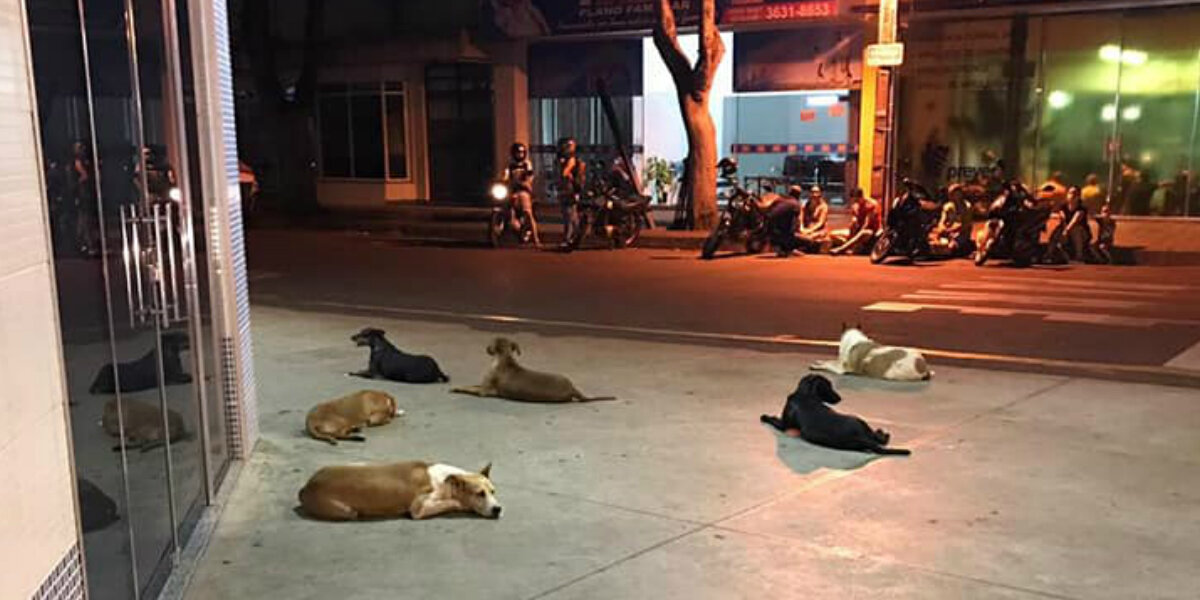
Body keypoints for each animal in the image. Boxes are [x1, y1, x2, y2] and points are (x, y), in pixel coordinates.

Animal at [302, 458, 504, 520]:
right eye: (479, 494)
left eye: (493, 491)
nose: (498, 509)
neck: (446, 482)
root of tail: (306, 487)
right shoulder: (419, 509)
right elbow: (451, 502)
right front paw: (460, 504)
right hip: (346, 511)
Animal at [451, 338, 619, 403]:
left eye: (491, 343)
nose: (486, 348)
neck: (504, 358)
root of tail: (573, 389)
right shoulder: (483, 386)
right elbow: (471, 385)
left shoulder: (484, 391)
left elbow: (470, 389)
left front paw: (457, 388)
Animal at [758, 374, 907, 453]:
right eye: (829, 386)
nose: (840, 398)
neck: (805, 394)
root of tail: (862, 438)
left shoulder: (783, 425)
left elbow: (773, 420)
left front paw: (765, 416)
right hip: (862, 423)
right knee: (881, 439)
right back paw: (883, 433)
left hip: (860, 421)